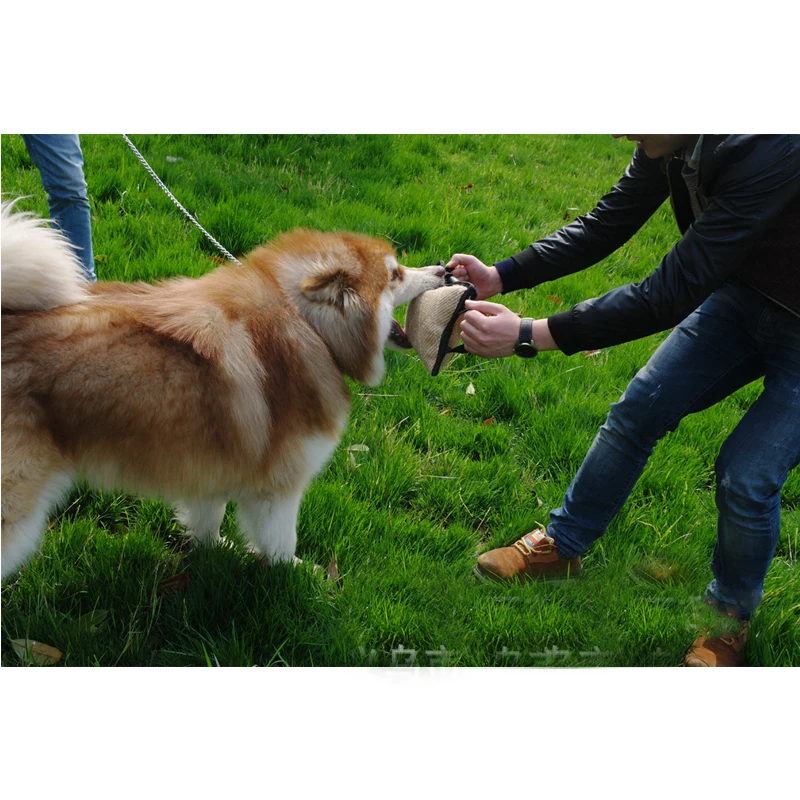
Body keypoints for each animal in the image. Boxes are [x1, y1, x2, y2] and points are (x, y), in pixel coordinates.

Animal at [0, 200, 446, 576]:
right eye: (395, 275)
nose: (443, 269)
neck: (307, 325)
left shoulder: (208, 459)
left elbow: (207, 521)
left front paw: (217, 550)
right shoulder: (280, 484)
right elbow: (282, 542)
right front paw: (300, 573)